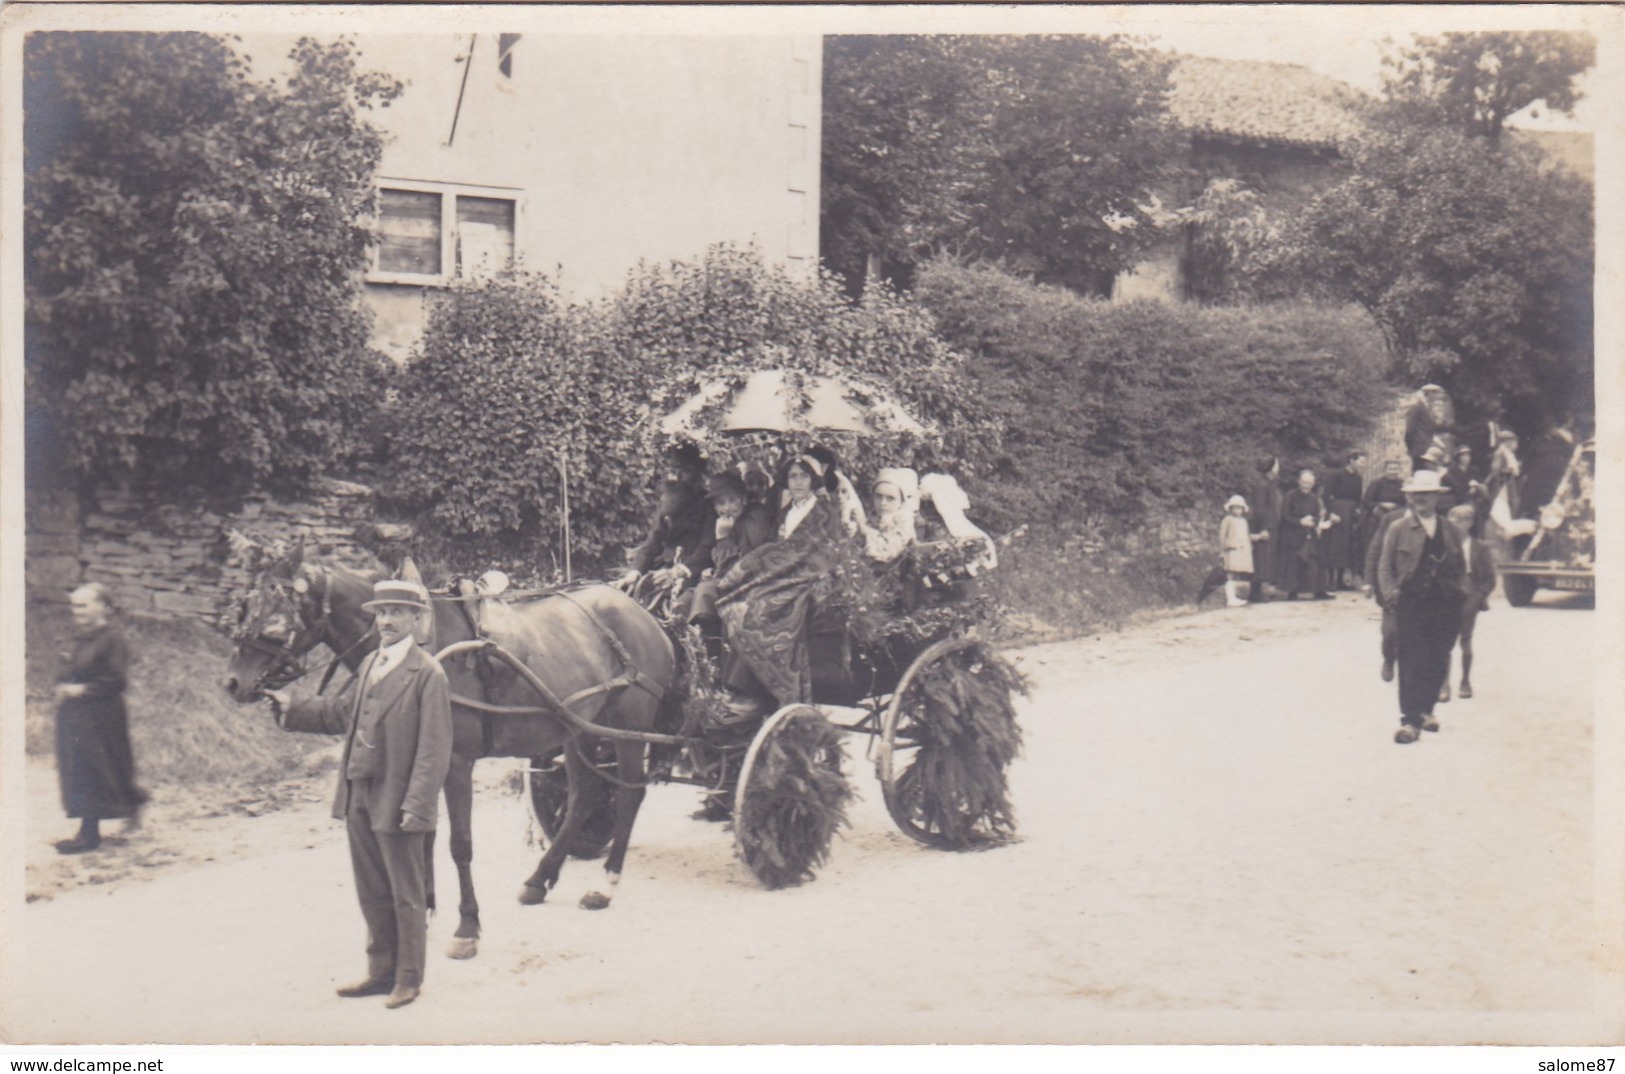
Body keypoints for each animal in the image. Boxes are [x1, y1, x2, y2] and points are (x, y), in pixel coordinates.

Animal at [222, 539, 679, 961]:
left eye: (273, 621)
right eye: (244, 608)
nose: (233, 683)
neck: (425, 640)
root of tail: (644, 615)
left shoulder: (455, 762)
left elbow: (459, 844)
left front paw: (467, 927)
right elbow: (419, 833)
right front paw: (423, 912)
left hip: (628, 728)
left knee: (631, 794)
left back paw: (604, 884)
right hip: (577, 727)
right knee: (584, 795)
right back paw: (539, 879)